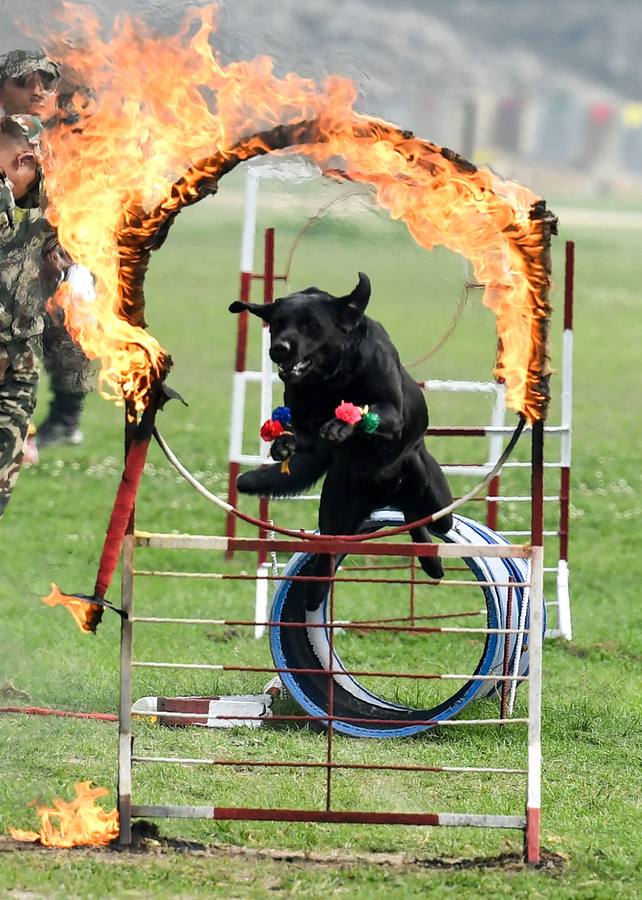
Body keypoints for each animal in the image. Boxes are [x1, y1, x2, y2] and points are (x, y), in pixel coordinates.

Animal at [228, 272, 452, 612]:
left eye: (311, 325)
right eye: (277, 323)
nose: (279, 349)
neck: (331, 378)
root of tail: (384, 493)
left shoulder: (390, 411)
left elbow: (364, 412)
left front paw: (340, 424)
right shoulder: (303, 419)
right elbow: (299, 434)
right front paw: (283, 445)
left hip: (438, 504)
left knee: (424, 519)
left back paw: (432, 562)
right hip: (337, 511)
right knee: (330, 554)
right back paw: (315, 593)